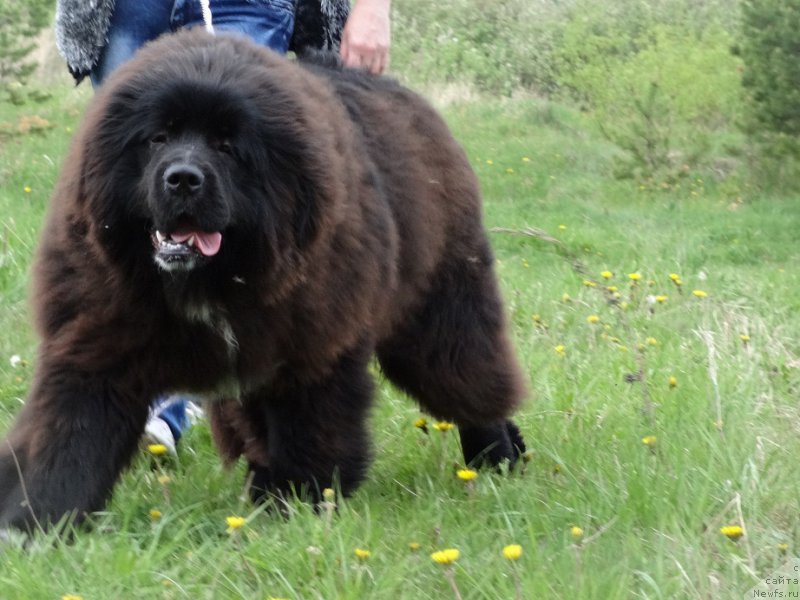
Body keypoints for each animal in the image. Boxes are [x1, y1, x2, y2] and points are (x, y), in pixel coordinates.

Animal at [0, 30, 524, 532]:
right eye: (158, 138)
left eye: (228, 147)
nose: (183, 178)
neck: (215, 278)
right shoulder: (98, 337)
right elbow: (70, 432)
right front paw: (35, 520)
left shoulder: (313, 349)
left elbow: (308, 427)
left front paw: (298, 501)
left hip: (439, 313)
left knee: (470, 378)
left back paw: (496, 454)